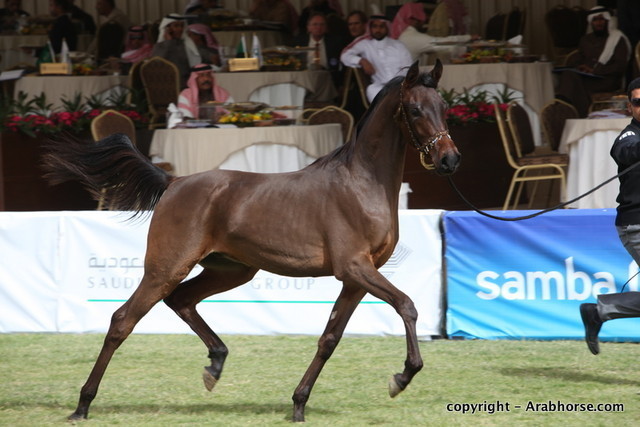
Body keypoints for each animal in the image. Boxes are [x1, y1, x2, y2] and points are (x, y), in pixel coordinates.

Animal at [42, 60, 460, 422]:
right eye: (415, 110)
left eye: (443, 107)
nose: (449, 160)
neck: (361, 183)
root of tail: (174, 182)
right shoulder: (354, 267)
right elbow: (407, 306)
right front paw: (402, 377)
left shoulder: (357, 279)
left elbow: (330, 338)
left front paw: (298, 405)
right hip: (166, 267)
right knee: (122, 320)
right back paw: (82, 406)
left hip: (232, 271)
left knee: (181, 300)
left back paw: (215, 364)